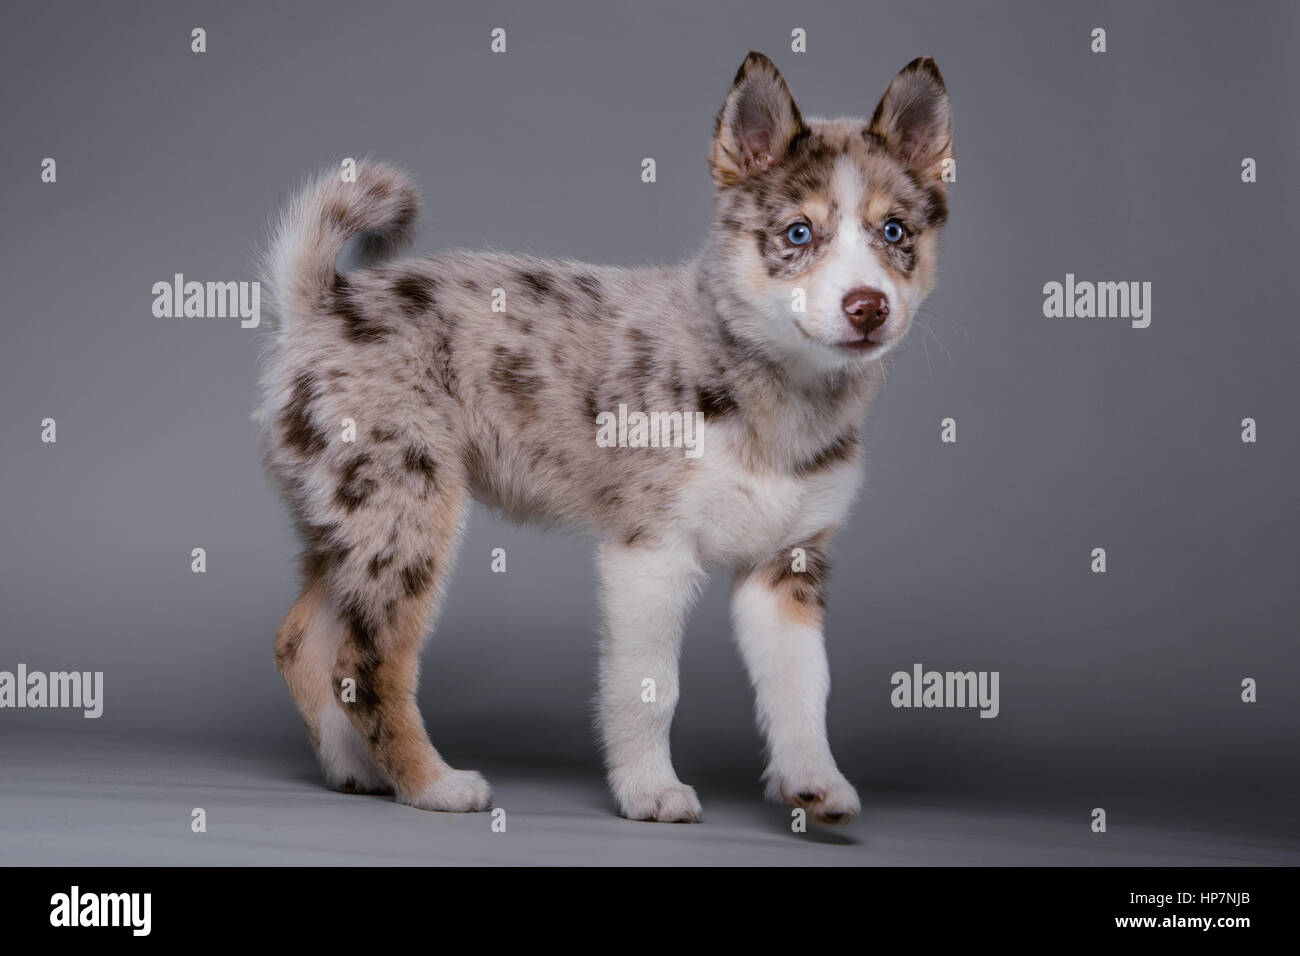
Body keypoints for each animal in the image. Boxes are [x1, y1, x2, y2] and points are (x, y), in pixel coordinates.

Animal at [258, 52, 956, 822]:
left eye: (894, 233)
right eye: (799, 234)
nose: (869, 308)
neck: (780, 393)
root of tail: (323, 302)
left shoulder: (787, 567)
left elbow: (802, 690)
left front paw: (814, 783)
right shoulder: (649, 555)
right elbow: (648, 689)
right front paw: (650, 790)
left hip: (354, 523)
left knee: (303, 643)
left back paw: (357, 770)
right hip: (406, 511)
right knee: (368, 660)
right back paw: (431, 784)